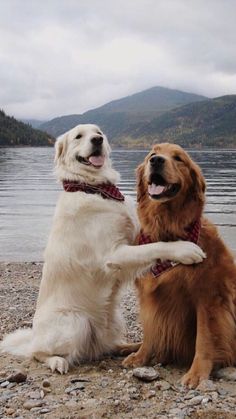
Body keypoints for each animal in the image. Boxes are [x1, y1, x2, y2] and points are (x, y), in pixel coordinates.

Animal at [0, 124, 205, 374]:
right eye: (78, 136)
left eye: (98, 132)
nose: (97, 140)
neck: (94, 188)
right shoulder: (113, 254)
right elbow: (154, 247)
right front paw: (185, 249)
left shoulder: (132, 236)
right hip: (75, 322)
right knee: (38, 353)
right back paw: (57, 361)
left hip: (115, 319)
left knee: (105, 346)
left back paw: (127, 347)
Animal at [122, 144, 236, 388]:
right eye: (151, 154)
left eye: (178, 158)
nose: (156, 160)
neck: (167, 234)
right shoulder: (149, 298)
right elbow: (150, 331)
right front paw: (141, 356)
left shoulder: (208, 298)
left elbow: (204, 339)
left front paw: (197, 373)